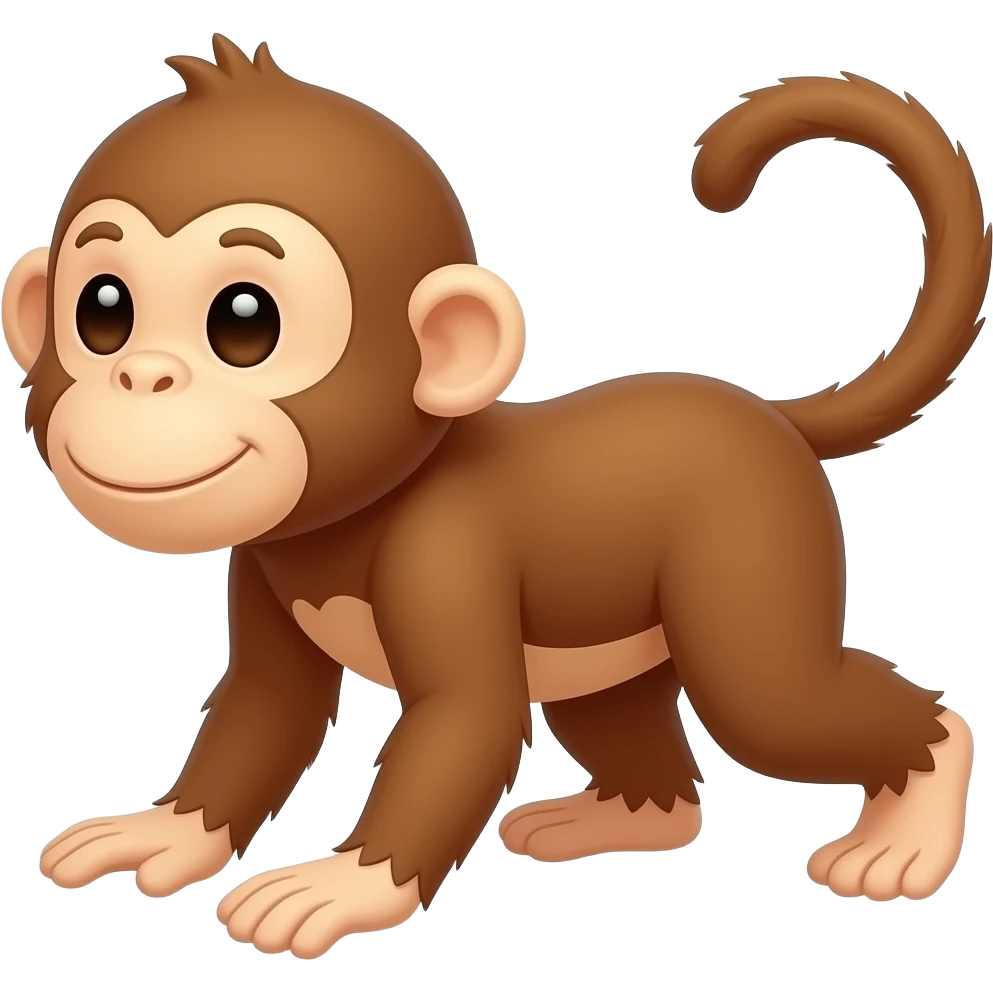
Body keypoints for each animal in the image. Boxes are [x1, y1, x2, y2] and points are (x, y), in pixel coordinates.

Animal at [6, 37, 986, 958]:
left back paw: (907, 830)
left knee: (787, 702)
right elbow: (263, 708)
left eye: (244, 322)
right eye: (102, 311)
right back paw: (613, 816)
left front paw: (343, 886)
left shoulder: (444, 553)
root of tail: (770, 413)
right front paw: (162, 830)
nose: (142, 374)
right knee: (640, 746)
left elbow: (464, 720)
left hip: (752, 564)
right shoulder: (260, 565)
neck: (361, 511)